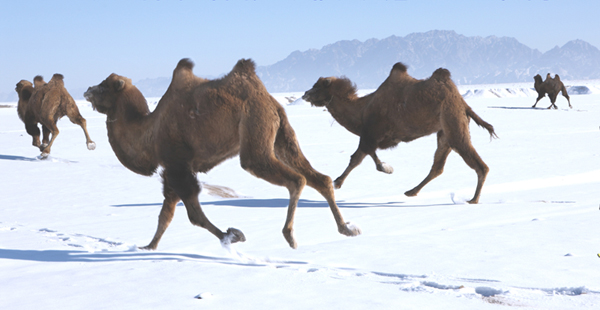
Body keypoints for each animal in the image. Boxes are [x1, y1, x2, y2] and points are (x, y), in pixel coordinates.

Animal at [82, 58, 358, 251]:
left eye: (105, 87)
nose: (86, 90)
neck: (149, 131)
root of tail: (271, 102)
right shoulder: (172, 170)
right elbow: (165, 215)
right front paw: (148, 246)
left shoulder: (177, 165)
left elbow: (193, 215)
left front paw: (233, 235)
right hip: (282, 135)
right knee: (319, 178)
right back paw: (347, 228)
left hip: (255, 129)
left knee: (295, 178)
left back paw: (290, 236)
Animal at [304, 62, 496, 203]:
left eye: (317, 87)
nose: (305, 94)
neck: (362, 110)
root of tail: (464, 104)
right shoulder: (372, 135)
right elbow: (368, 155)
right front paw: (386, 168)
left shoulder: (371, 132)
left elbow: (357, 158)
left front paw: (337, 182)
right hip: (444, 132)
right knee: (438, 167)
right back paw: (411, 191)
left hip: (453, 123)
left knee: (478, 164)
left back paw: (473, 199)